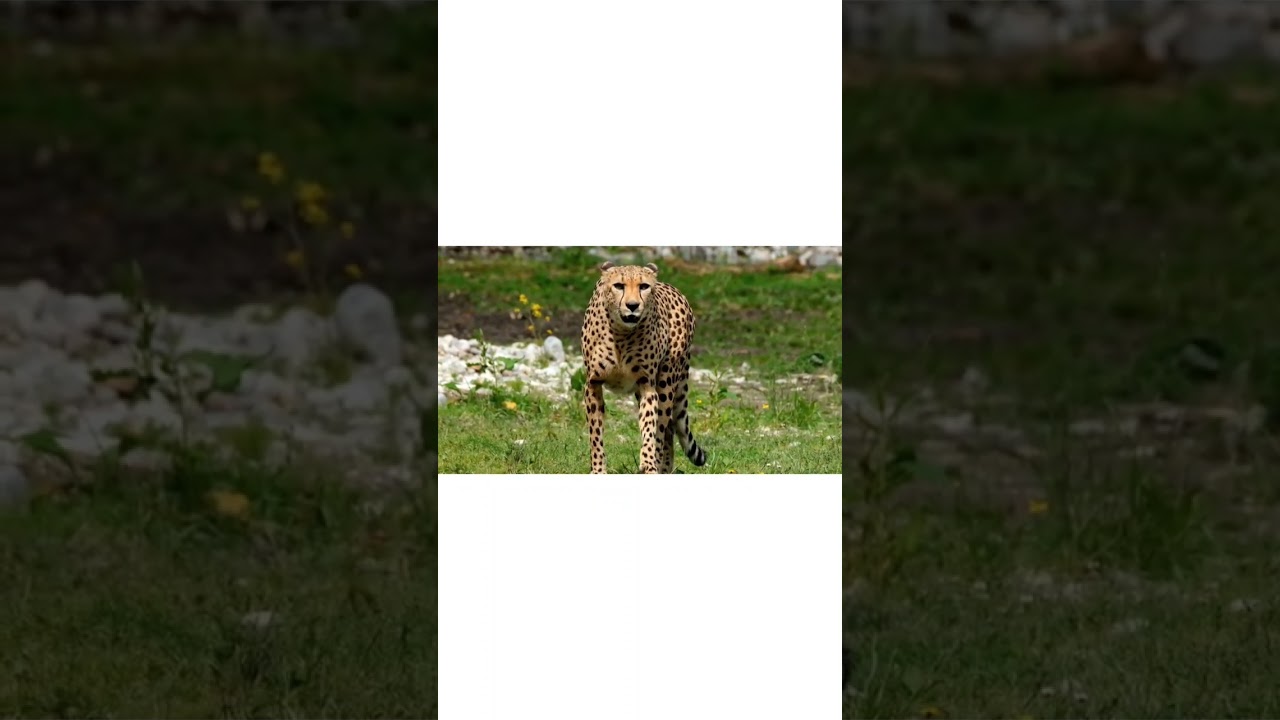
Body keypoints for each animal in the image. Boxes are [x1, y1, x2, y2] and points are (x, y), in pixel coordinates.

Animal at [581, 261, 708, 474]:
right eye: (619, 286)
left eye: (644, 286)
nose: (632, 306)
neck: (621, 333)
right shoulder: (593, 384)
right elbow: (595, 433)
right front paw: (598, 469)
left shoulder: (647, 385)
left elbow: (650, 428)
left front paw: (648, 463)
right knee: (670, 427)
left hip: (666, 382)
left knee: (665, 426)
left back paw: (660, 466)